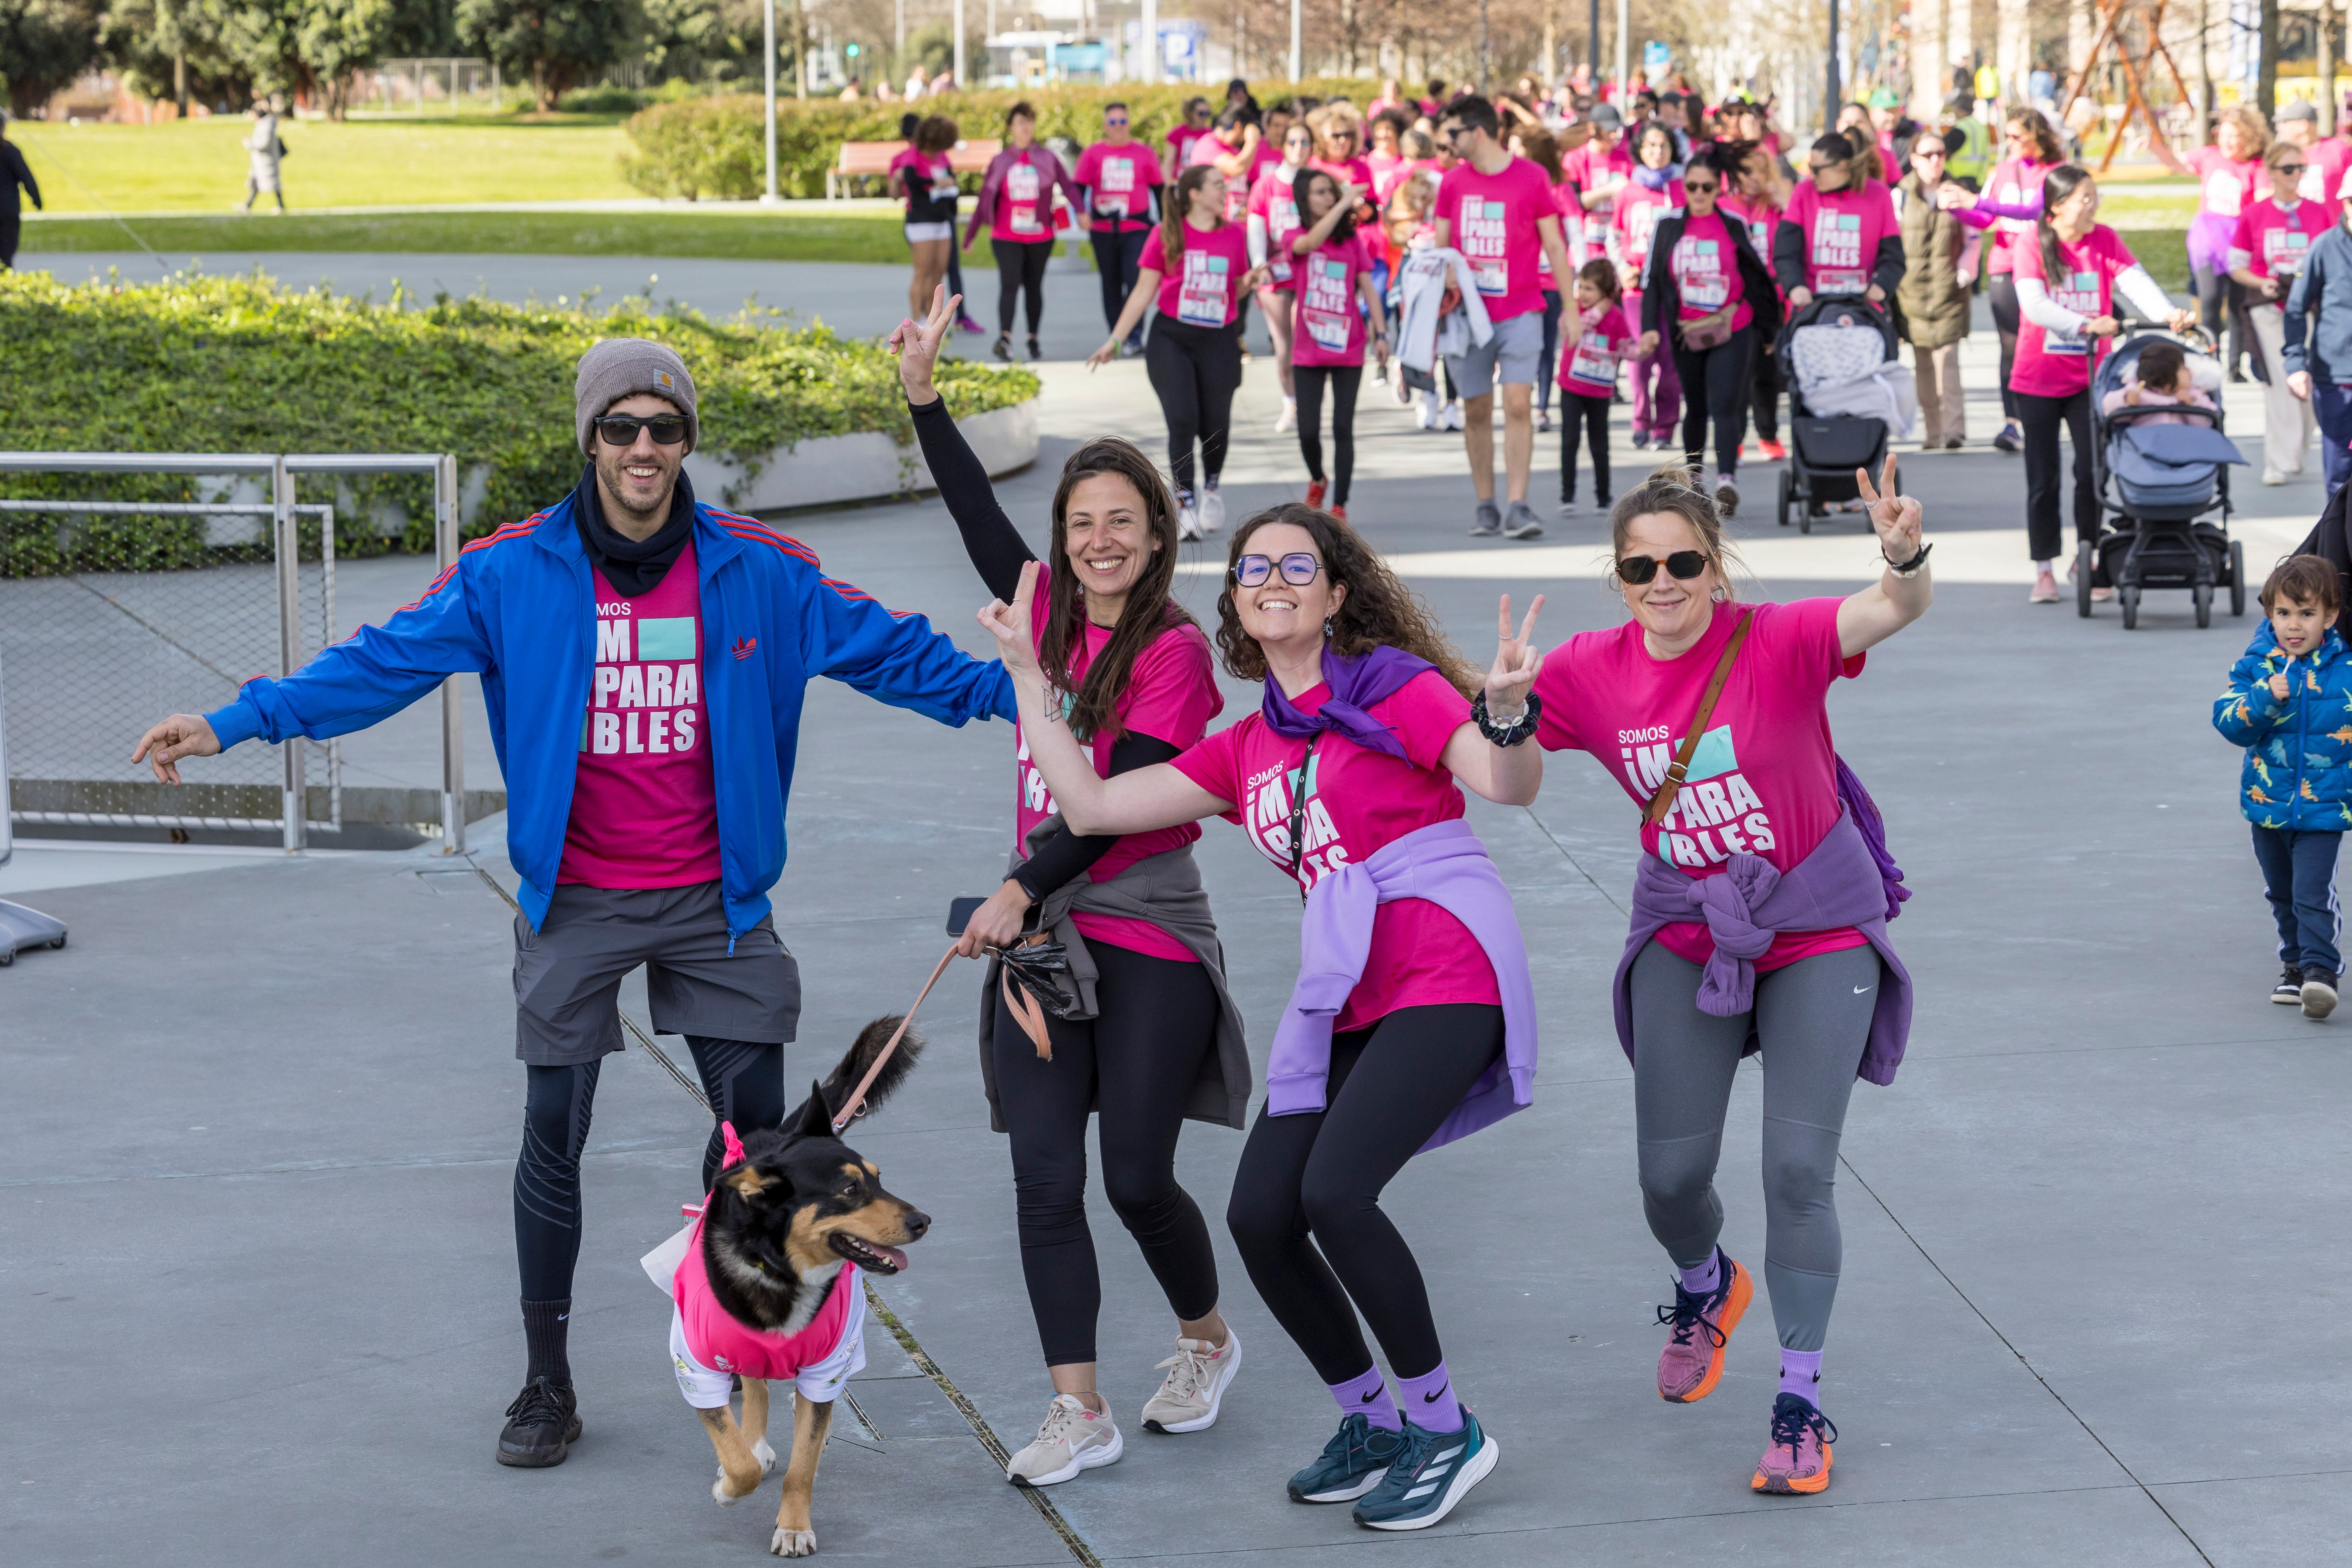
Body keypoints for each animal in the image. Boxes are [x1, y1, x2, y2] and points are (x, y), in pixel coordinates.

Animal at [672, 1020, 927, 1561]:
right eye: (850, 1190)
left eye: (879, 1179)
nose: (923, 1222)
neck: (783, 1271)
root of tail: (780, 1137)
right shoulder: (696, 1366)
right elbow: (739, 1454)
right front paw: (731, 1484)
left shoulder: (826, 1363)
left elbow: (803, 1465)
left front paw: (792, 1526)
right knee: (755, 1385)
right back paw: (755, 1441)